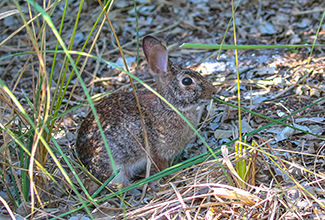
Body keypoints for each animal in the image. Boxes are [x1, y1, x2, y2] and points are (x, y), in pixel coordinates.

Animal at [76, 35, 216, 184]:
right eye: (187, 81)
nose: (214, 91)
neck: (168, 107)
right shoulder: (156, 152)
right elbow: (161, 166)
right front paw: (170, 175)